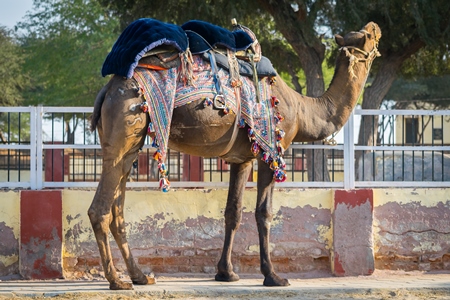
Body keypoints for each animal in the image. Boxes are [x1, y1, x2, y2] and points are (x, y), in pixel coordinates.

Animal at [87, 21, 380, 290]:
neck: (302, 109)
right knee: (99, 210)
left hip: (131, 145)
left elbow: (233, 212)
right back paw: (116, 281)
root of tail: (107, 90)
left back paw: (140, 276)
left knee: (118, 210)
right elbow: (264, 212)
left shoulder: (243, 159)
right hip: (123, 127)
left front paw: (226, 273)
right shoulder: (271, 150)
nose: (375, 26)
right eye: (369, 36)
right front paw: (273, 276)